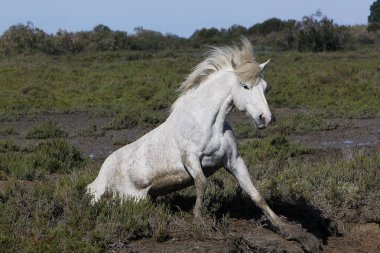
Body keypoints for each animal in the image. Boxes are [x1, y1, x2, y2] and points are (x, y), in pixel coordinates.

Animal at [88, 39, 320, 251]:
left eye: (265, 87)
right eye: (245, 86)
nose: (265, 119)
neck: (208, 122)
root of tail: (97, 180)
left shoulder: (234, 161)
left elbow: (256, 194)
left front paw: (290, 231)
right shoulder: (191, 159)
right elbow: (201, 183)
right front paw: (199, 222)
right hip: (126, 199)